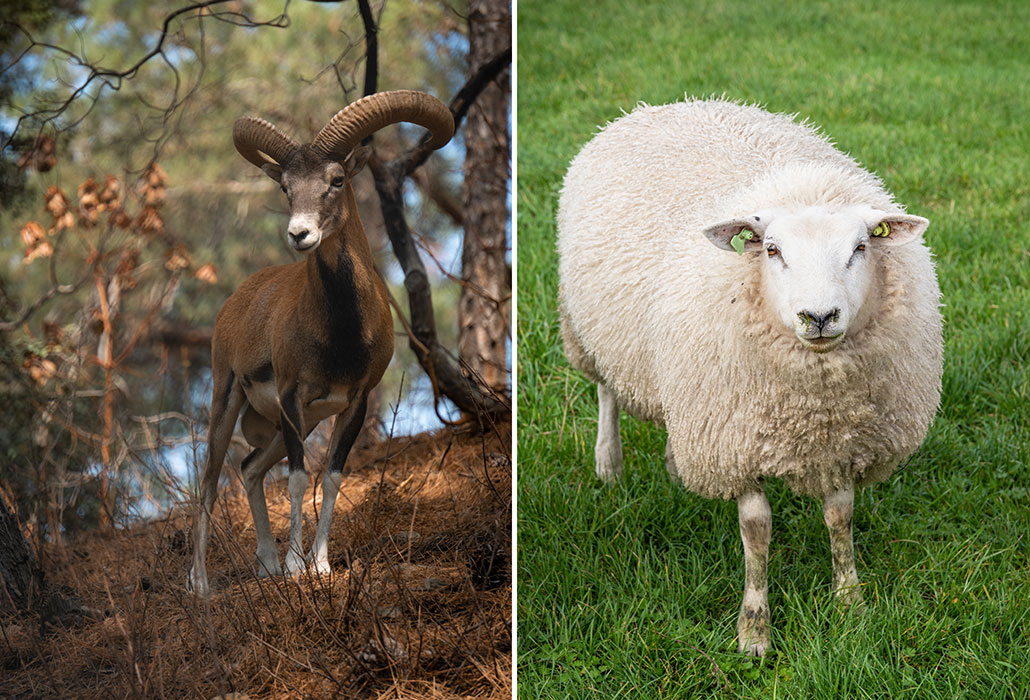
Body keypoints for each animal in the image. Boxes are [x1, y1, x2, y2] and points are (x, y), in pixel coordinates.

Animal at [556, 98, 943, 654]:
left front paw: (850, 603)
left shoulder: (839, 439)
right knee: (606, 389)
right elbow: (756, 531)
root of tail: (666, 104)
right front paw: (754, 628)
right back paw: (609, 465)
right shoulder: (735, 438)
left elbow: (840, 517)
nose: (819, 316)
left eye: (860, 248)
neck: (812, 401)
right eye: (772, 249)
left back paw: (674, 467)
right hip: (589, 329)